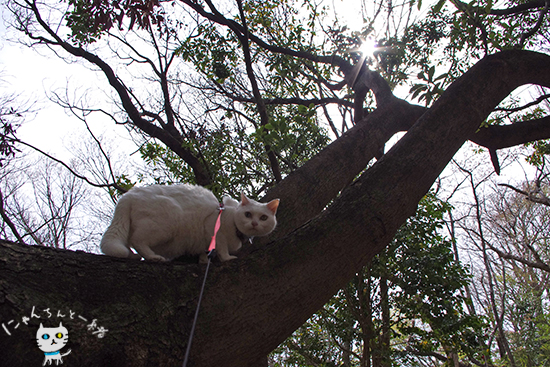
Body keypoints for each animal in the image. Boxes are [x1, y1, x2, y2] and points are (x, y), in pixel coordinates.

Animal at [100, 185, 280, 264]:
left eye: (263, 218)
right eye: (248, 214)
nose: (254, 223)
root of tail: (129, 195)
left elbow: (206, 250)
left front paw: (204, 260)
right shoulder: (213, 228)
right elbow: (221, 247)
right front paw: (227, 258)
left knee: (128, 243)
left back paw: (132, 256)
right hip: (166, 223)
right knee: (137, 241)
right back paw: (153, 257)